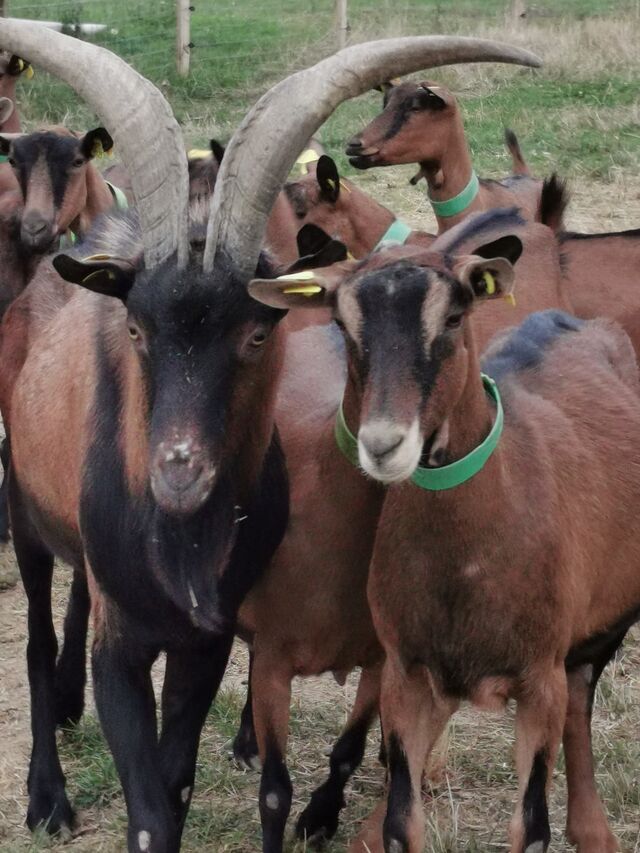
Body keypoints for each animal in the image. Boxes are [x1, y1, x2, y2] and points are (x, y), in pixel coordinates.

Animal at [251, 210, 640, 853]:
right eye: (342, 323)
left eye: (454, 317)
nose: (384, 444)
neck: (467, 563)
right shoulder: (408, 673)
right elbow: (401, 819)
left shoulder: (539, 680)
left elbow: (531, 826)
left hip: (599, 629)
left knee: (581, 695)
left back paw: (593, 829)